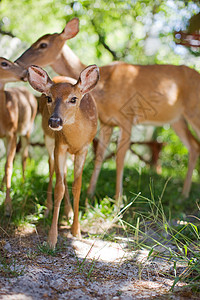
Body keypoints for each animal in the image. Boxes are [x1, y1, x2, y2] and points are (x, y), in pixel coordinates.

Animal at [14, 17, 200, 199]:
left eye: (43, 44)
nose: (17, 62)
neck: (104, 88)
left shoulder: (127, 117)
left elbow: (119, 158)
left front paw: (118, 200)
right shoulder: (106, 122)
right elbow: (99, 155)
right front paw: (89, 195)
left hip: (193, 111)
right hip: (177, 119)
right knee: (193, 145)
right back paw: (183, 195)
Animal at [27, 63, 99, 248]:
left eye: (74, 99)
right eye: (49, 98)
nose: (54, 121)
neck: (75, 137)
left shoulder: (83, 149)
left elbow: (77, 186)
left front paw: (76, 231)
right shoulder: (60, 145)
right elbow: (59, 188)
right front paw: (52, 239)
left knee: (64, 173)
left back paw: (69, 213)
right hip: (48, 138)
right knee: (52, 167)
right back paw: (48, 209)